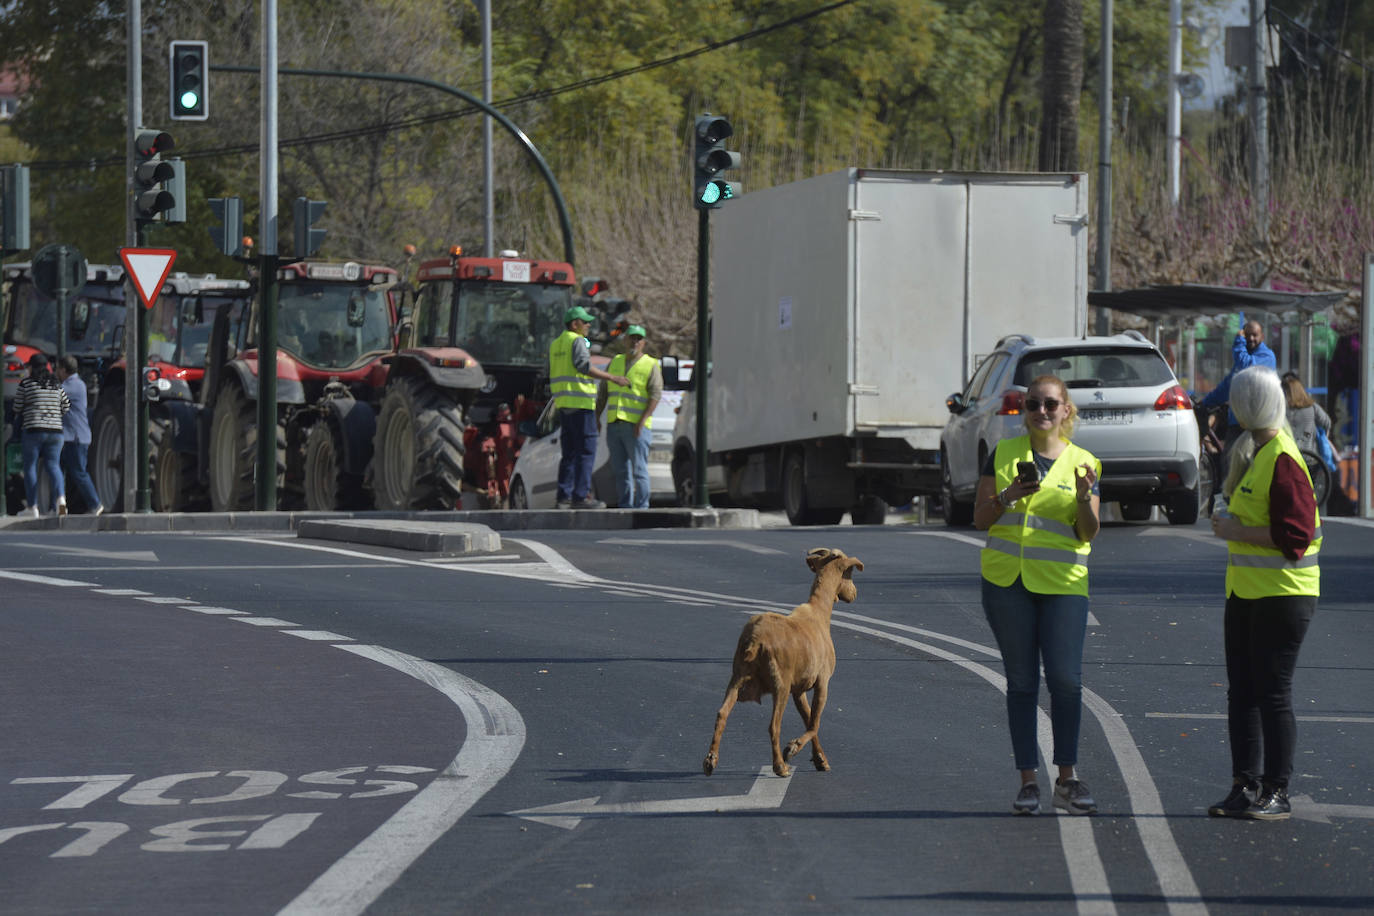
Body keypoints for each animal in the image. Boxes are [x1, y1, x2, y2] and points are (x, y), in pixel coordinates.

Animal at [703, 549, 862, 780]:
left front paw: (820, 759)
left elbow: (809, 719)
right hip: (781, 685)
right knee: (773, 726)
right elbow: (815, 723)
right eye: (849, 573)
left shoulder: (799, 690)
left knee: (722, 713)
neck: (819, 613)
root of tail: (756, 639)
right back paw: (780, 765)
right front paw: (793, 748)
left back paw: (710, 761)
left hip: (737, 677)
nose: (854, 593)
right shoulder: (822, 683)